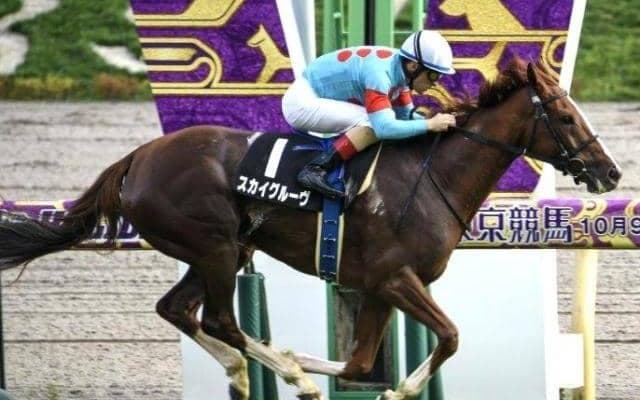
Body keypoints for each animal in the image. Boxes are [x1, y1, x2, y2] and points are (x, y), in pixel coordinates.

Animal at [0, 59, 621, 400]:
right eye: (565, 117)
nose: (611, 172)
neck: (432, 176)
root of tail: (138, 156)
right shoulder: (395, 278)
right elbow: (449, 336)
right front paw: (384, 384)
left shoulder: (378, 286)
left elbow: (360, 363)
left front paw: (358, 378)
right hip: (216, 246)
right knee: (222, 319)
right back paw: (285, 375)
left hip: (217, 249)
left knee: (178, 310)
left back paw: (246, 371)